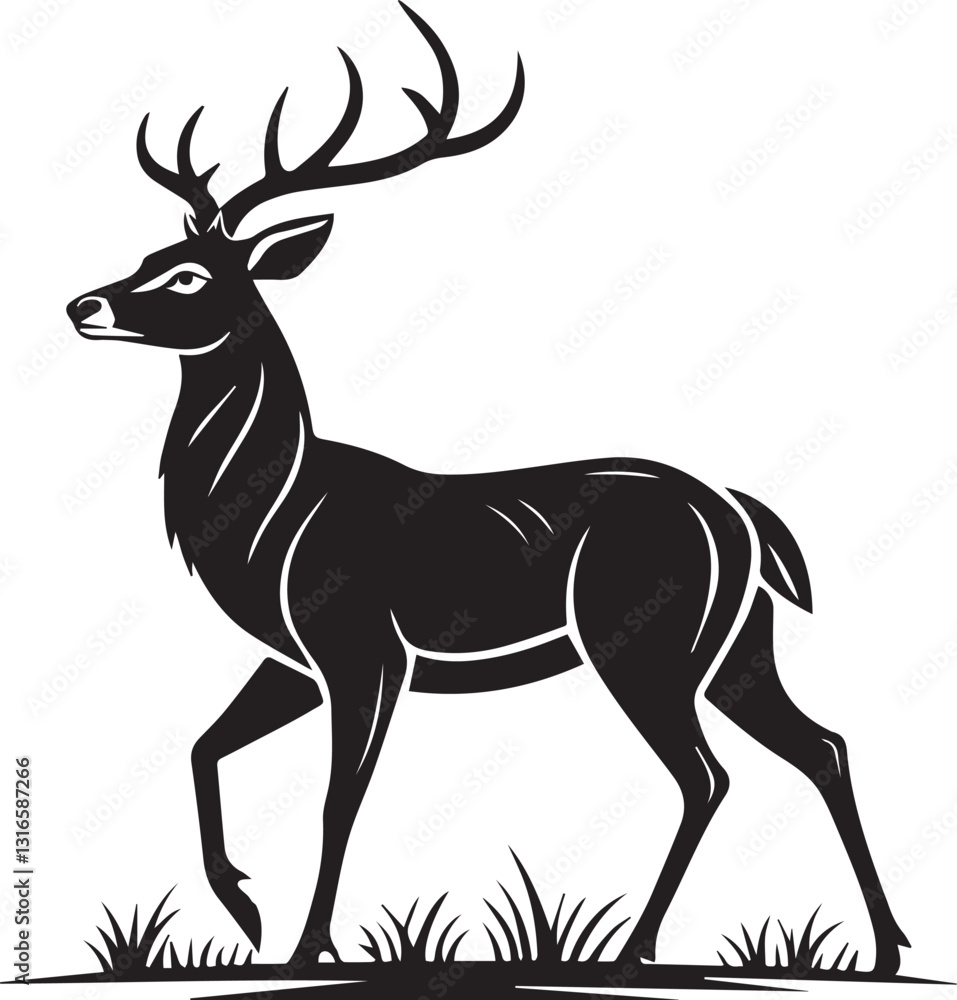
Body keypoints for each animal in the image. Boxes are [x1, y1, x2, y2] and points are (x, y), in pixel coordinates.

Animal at [65, 3, 909, 974]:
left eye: (189, 275)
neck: (270, 521)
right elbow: (203, 746)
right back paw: (885, 948)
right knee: (820, 745)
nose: (82, 305)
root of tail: (741, 517)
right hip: (736, 646)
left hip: (638, 638)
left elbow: (338, 798)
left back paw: (635, 948)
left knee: (706, 774)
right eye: (149, 253)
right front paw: (244, 911)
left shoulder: (363, 648)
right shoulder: (292, 659)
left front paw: (309, 947)